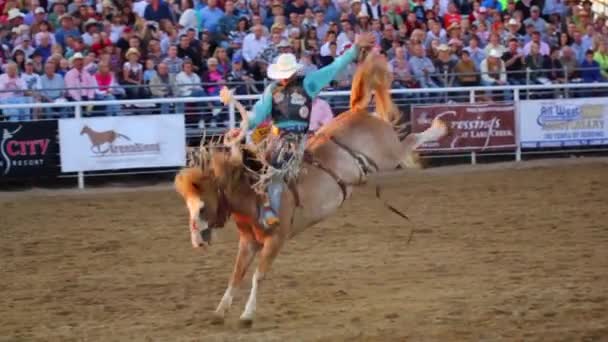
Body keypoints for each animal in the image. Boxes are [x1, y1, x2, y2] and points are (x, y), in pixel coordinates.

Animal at [173, 51, 448, 326]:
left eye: (202, 206)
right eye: (187, 207)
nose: (197, 242)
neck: (252, 194)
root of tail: (356, 111)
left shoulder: (276, 239)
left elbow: (257, 276)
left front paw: (247, 314)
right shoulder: (248, 242)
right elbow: (236, 274)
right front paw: (220, 311)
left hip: (388, 154)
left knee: (409, 140)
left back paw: (439, 127)